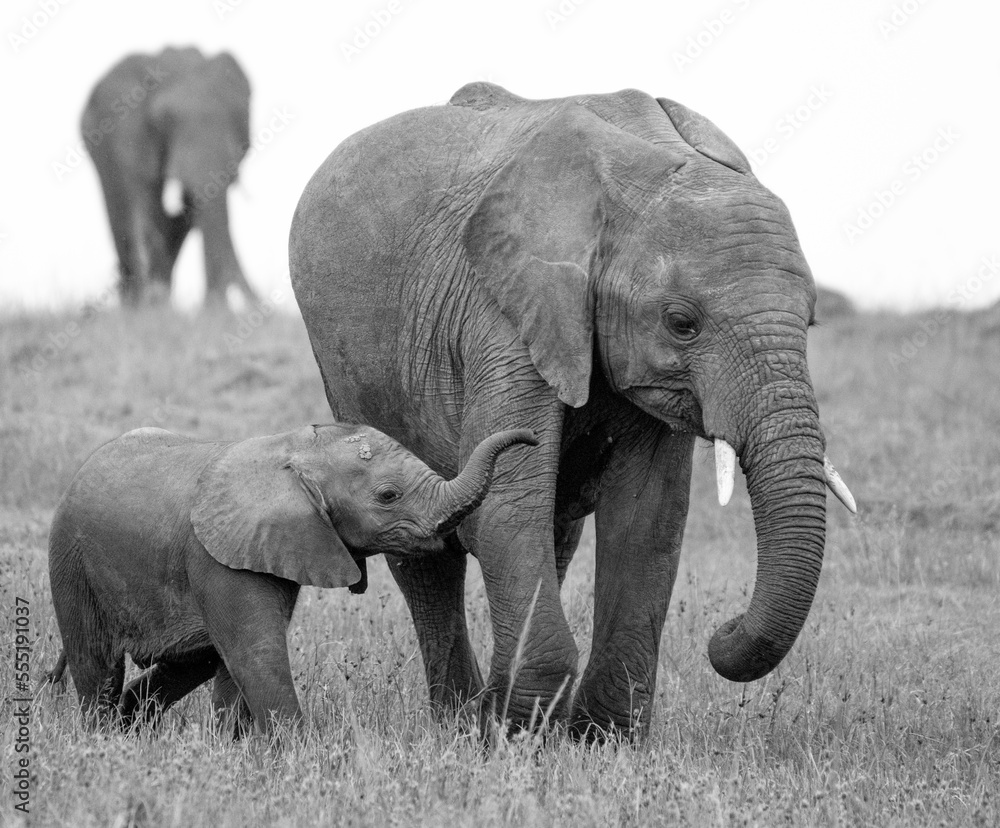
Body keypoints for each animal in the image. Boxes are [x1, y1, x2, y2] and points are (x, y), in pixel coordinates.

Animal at [48, 424, 532, 736]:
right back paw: (101, 741)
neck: (293, 452)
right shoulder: (218, 559)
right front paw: (298, 758)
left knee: (191, 661)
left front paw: (231, 749)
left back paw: (130, 731)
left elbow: (236, 660)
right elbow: (256, 653)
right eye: (388, 496)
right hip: (70, 563)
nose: (530, 438)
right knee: (97, 665)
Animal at [82, 46, 258, 304]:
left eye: (239, 115)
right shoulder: (128, 136)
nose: (254, 304)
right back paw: (139, 303)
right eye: (165, 118)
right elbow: (146, 210)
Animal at [290, 82, 860, 736]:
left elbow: (648, 519)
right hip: (352, 370)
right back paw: (459, 720)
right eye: (682, 323)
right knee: (426, 554)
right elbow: (510, 505)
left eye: (811, 322)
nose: (722, 634)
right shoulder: (505, 313)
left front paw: (600, 738)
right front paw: (515, 732)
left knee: (556, 532)